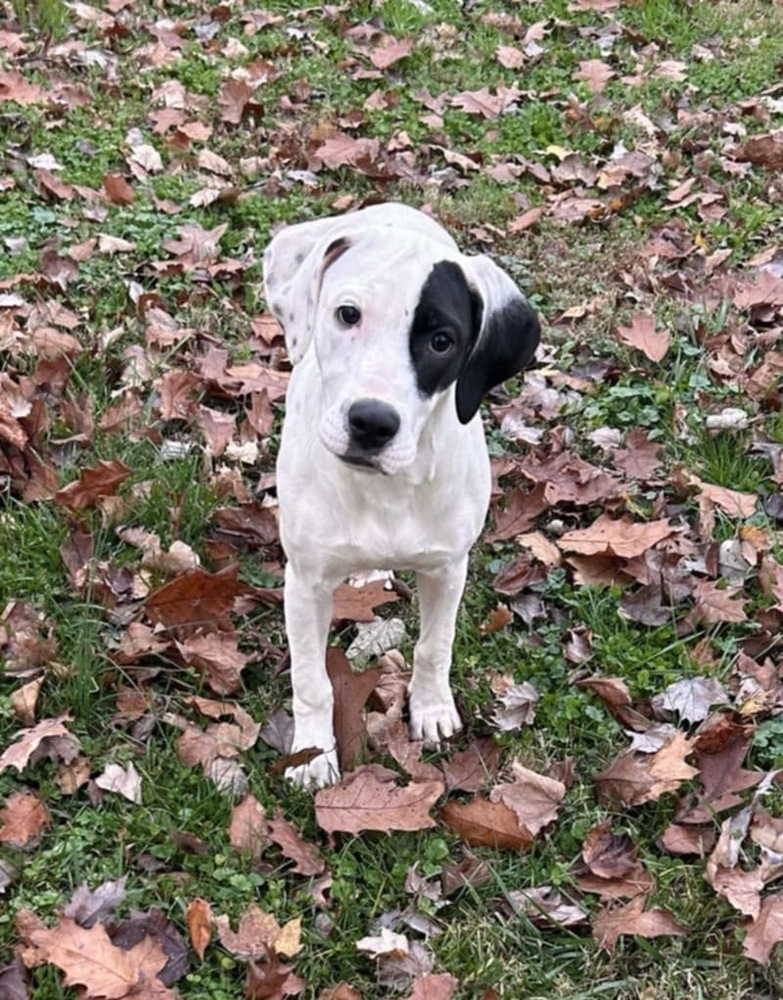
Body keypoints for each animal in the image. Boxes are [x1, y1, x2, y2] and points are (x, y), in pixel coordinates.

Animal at [264, 199, 540, 784]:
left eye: (442, 341)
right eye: (348, 314)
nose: (372, 423)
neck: (386, 490)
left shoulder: (448, 567)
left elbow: (435, 646)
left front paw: (431, 709)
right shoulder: (305, 583)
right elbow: (311, 680)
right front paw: (314, 754)